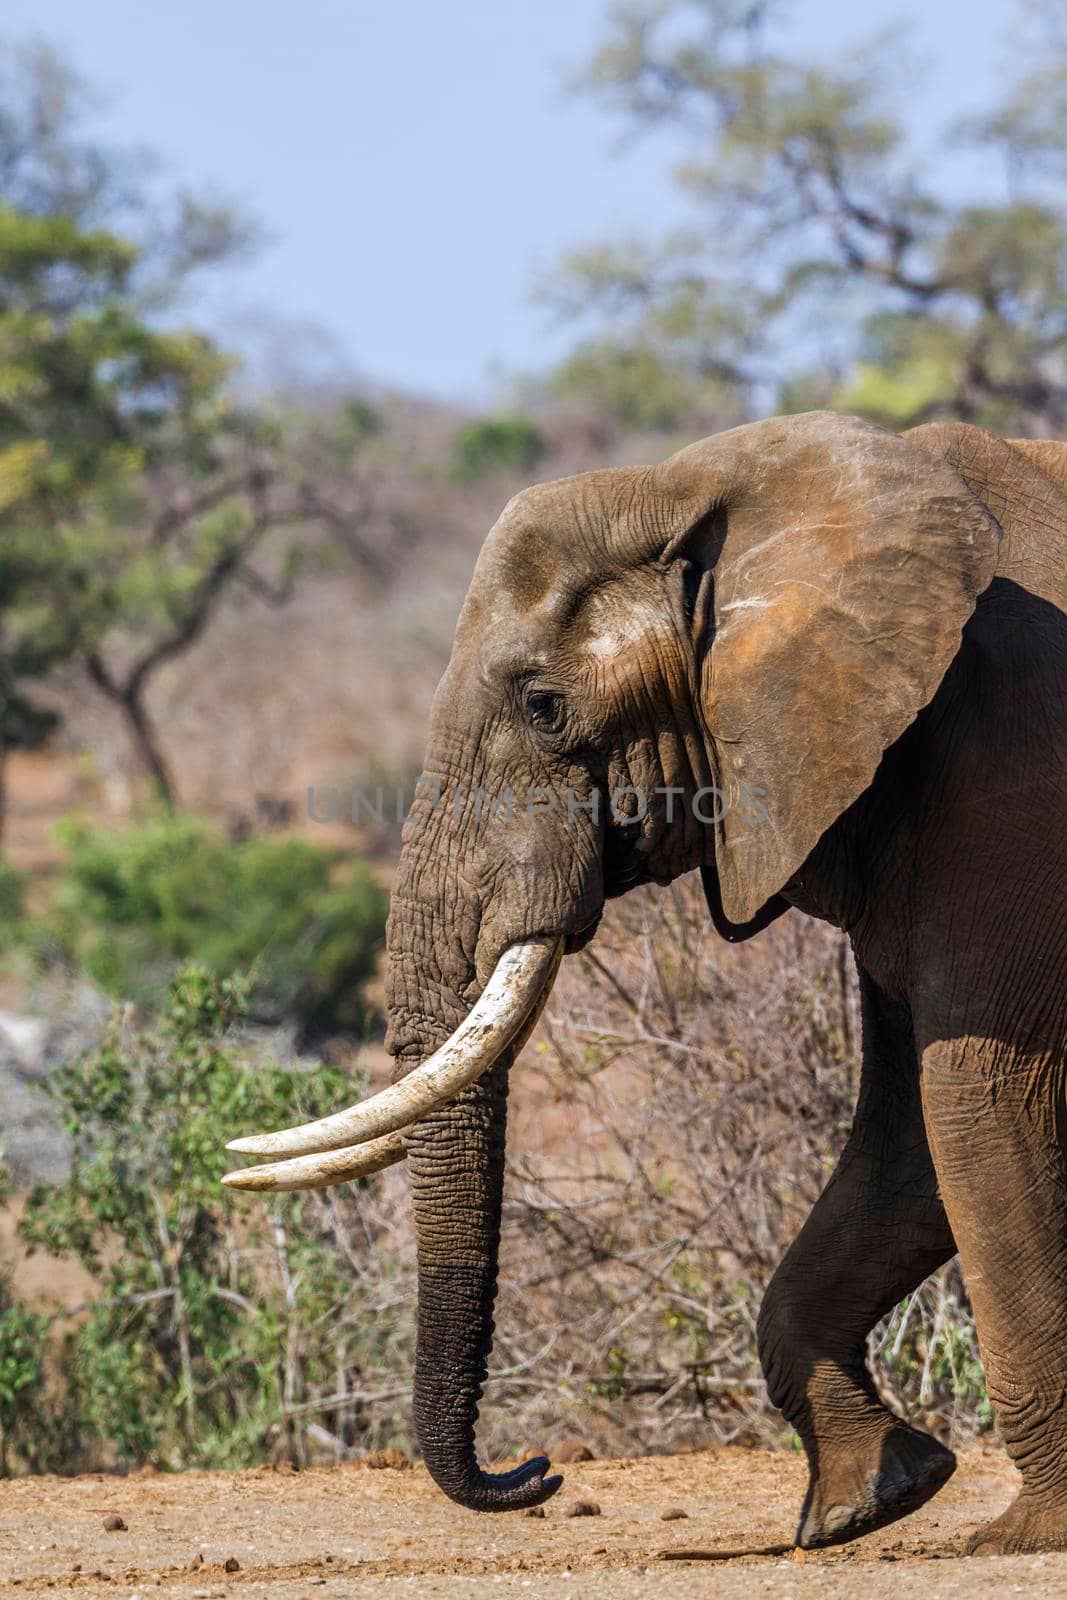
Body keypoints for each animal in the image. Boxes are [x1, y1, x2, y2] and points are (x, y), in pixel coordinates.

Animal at [227, 409, 1067, 1548]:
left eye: (543, 707)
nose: (536, 1471)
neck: (714, 494)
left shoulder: (1010, 772)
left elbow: (979, 1103)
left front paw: (1021, 1537)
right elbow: (907, 1141)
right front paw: (867, 1501)